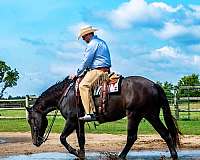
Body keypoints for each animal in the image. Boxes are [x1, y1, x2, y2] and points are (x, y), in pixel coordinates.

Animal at [25, 75, 180, 159]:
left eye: (31, 121)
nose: (35, 142)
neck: (65, 94)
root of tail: (154, 85)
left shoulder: (71, 120)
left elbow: (62, 138)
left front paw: (75, 152)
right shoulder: (79, 122)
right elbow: (81, 139)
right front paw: (81, 154)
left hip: (134, 115)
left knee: (131, 137)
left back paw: (119, 157)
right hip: (151, 115)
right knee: (165, 133)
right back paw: (174, 155)